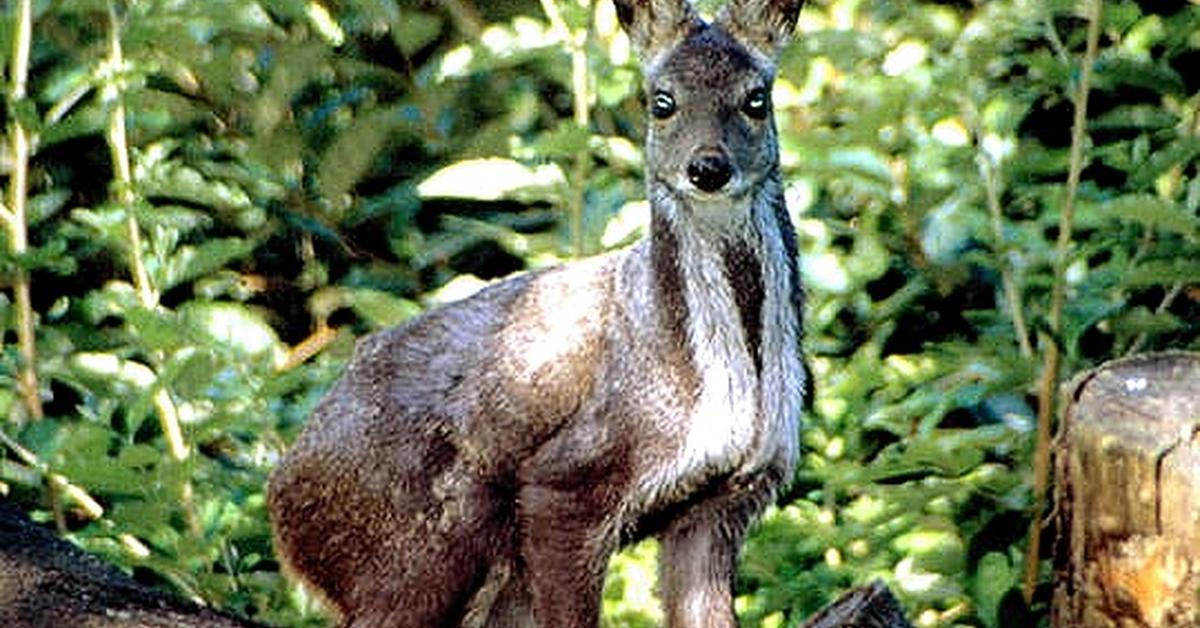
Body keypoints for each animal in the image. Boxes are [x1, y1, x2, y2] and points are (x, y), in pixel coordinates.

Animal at [268, 0, 811, 624]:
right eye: (662, 100)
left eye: (756, 98)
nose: (708, 168)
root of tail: (281, 504)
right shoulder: (568, 480)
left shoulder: (725, 499)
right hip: (418, 550)